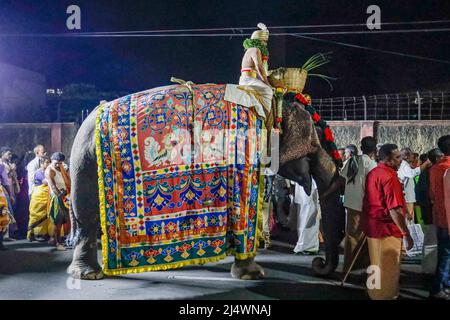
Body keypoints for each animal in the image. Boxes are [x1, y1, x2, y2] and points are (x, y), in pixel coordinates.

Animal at [67, 85, 344, 280]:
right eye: (320, 140)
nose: (318, 265)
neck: (269, 102)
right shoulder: (244, 152)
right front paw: (253, 275)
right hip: (84, 159)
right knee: (86, 215)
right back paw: (89, 274)